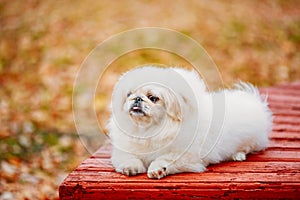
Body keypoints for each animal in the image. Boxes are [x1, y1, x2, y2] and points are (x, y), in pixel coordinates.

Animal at [107, 66, 272, 179]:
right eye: (129, 94)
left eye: (153, 98)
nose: (137, 98)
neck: (149, 130)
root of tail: (253, 101)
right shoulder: (124, 150)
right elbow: (128, 157)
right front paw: (130, 167)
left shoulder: (187, 156)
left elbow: (165, 158)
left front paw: (157, 169)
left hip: (252, 138)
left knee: (249, 147)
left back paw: (238, 155)